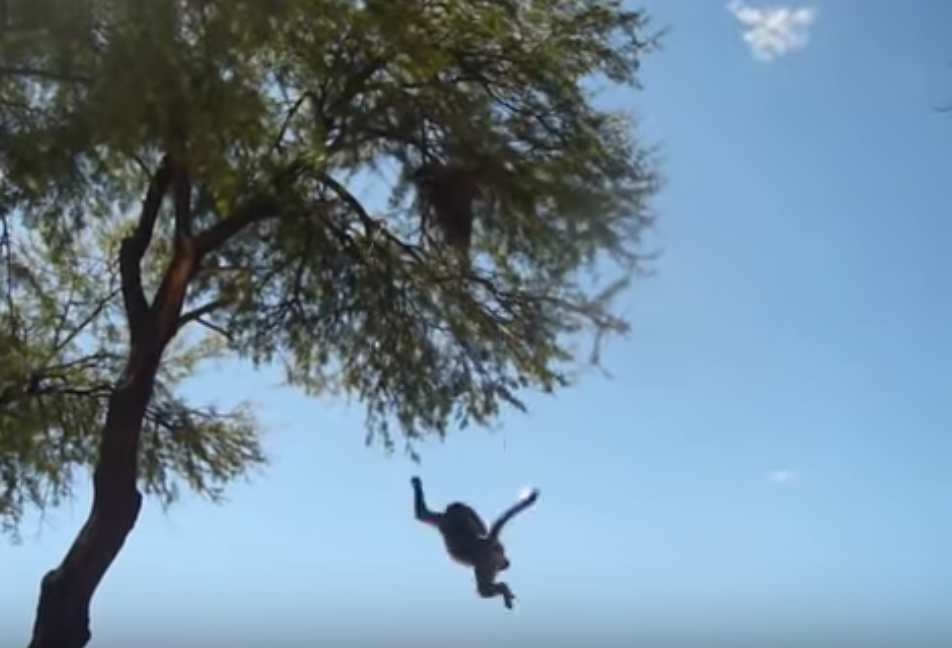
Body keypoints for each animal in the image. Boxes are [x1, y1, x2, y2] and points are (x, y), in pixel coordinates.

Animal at [410, 476, 540, 610]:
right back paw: (506, 578)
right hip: (495, 558)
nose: (453, 506)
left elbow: (421, 514)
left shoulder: (444, 521)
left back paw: (504, 589)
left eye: (453, 508)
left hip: (486, 564)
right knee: (501, 565)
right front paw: (417, 484)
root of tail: (488, 542)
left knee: (483, 590)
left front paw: (416, 484)